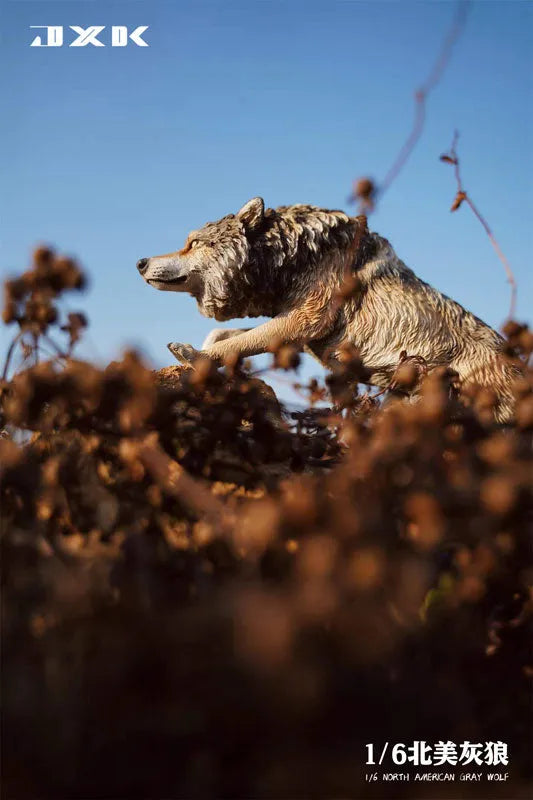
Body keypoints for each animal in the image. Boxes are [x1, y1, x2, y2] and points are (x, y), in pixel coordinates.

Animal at [137, 197, 519, 422]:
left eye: (192, 243)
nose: (140, 262)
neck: (293, 253)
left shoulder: (304, 321)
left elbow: (232, 342)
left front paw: (194, 357)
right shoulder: (297, 332)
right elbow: (224, 335)